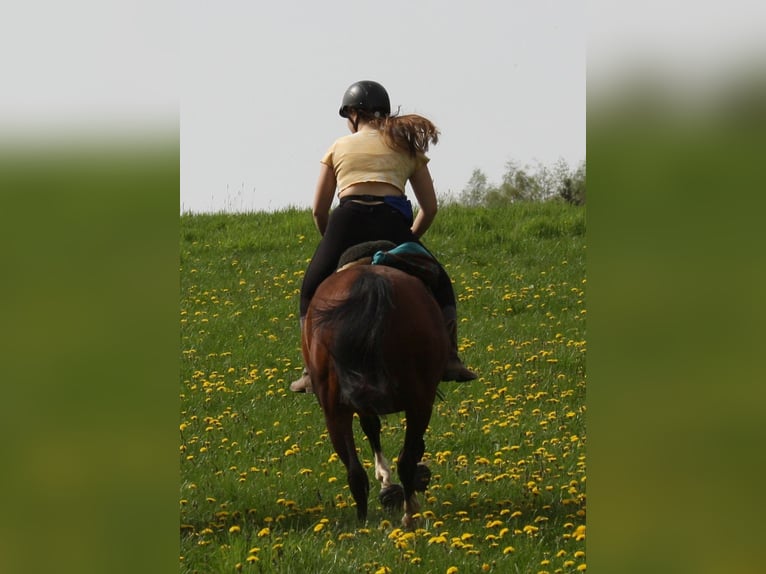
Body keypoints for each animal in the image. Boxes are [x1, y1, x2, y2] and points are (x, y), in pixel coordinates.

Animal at [302, 257, 449, 527]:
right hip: (419, 401)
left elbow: (372, 429)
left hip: (335, 410)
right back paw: (407, 512)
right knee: (403, 460)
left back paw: (364, 522)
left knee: (355, 471)